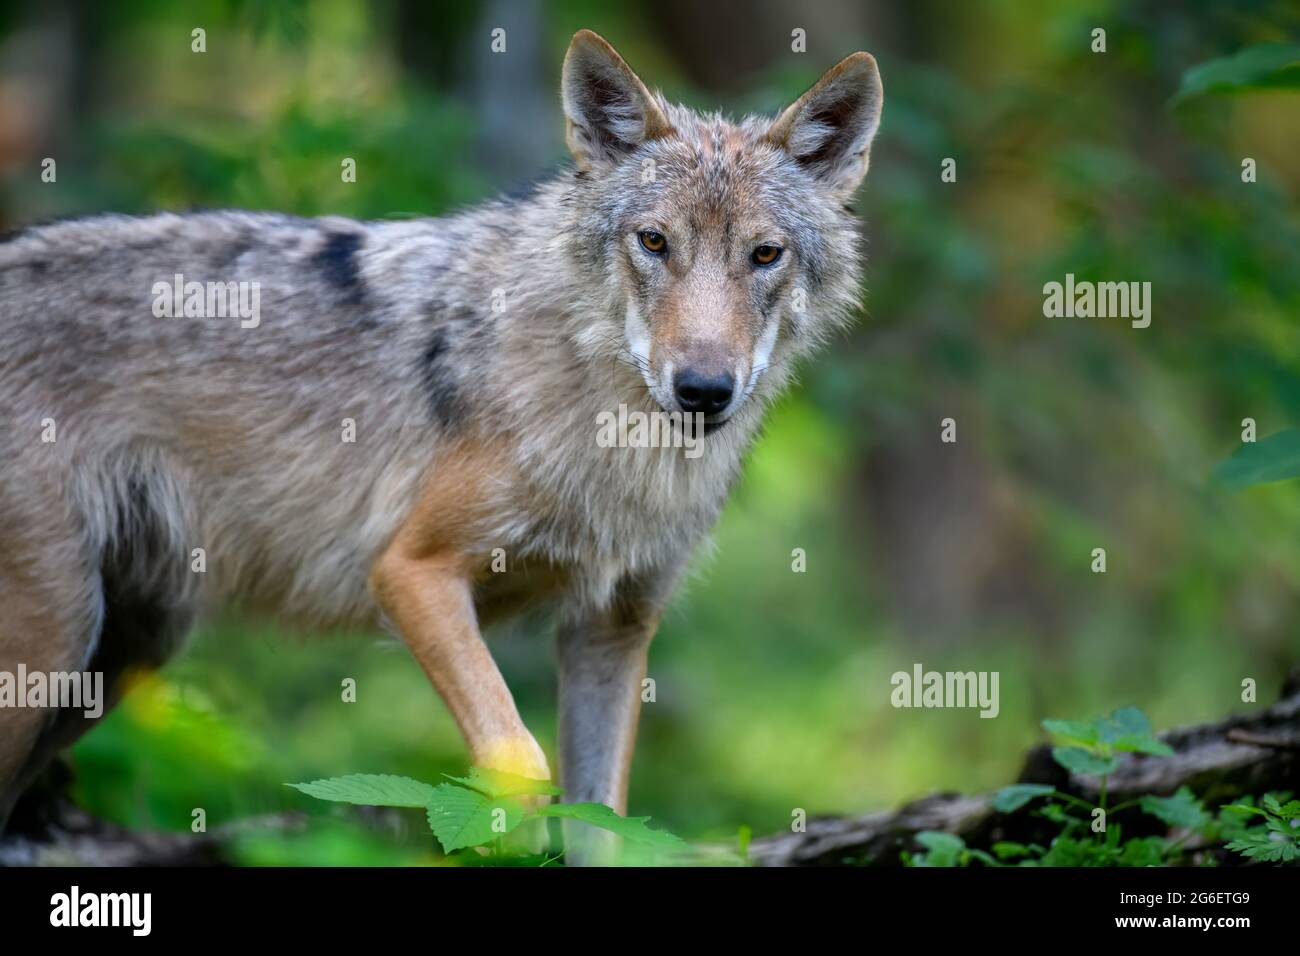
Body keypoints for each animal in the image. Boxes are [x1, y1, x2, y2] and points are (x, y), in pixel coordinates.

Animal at [0, 30, 882, 854]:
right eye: (654, 242)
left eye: (764, 255)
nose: (702, 390)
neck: (615, 439)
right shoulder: (410, 572)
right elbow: (518, 763)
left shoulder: (612, 629)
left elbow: (601, 819)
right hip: (55, 646)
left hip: (127, 650)